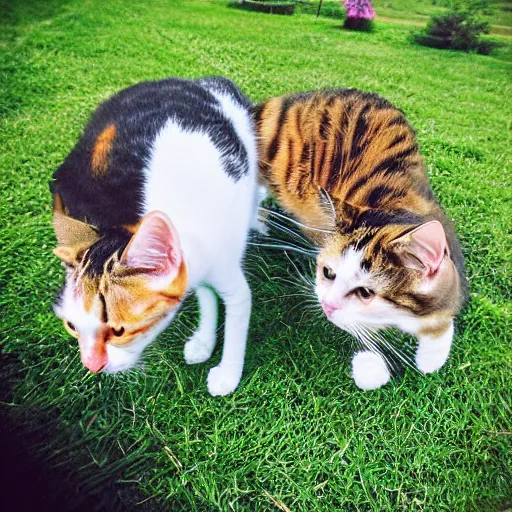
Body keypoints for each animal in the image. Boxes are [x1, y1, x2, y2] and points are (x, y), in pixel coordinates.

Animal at [51, 76, 258, 396]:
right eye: (72, 326)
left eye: (119, 331)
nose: (91, 365)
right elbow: (206, 295)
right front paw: (204, 339)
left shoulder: (224, 264)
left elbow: (237, 310)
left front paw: (228, 373)